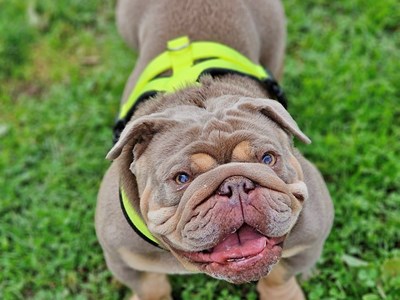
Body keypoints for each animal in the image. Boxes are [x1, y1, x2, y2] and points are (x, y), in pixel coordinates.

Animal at [96, 0, 334, 300]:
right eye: (182, 178)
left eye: (268, 159)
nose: (236, 184)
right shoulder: (123, 256)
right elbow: (151, 285)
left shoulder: (311, 236)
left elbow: (280, 275)